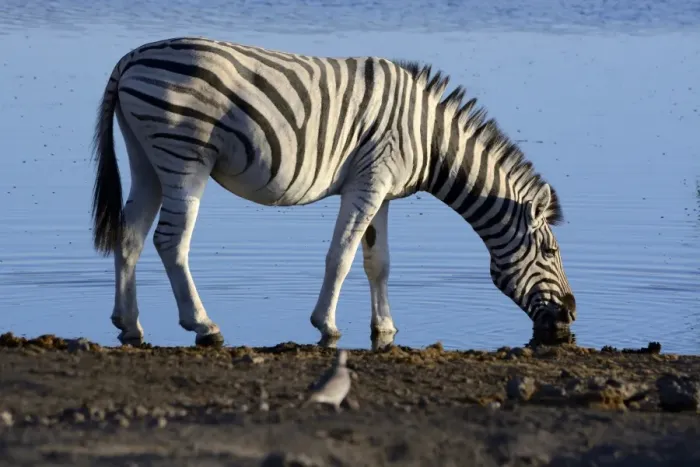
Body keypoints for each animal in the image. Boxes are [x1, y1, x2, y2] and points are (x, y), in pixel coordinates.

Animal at [90, 36, 576, 347]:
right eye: (550, 252)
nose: (571, 316)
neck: (431, 140)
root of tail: (130, 58)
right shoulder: (369, 182)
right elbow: (341, 255)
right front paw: (326, 324)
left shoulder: (382, 193)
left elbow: (378, 263)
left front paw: (385, 327)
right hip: (184, 156)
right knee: (170, 240)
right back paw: (202, 325)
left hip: (145, 157)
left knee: (130, 234)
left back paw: (128, 323)